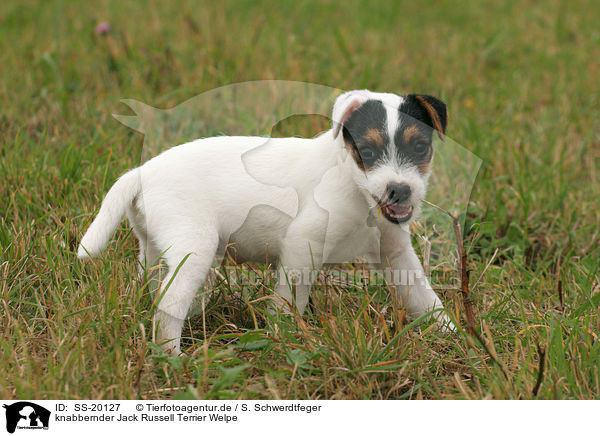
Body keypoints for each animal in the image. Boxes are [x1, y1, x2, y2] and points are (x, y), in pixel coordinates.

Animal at [78, 88, 454, 354]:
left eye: (420, 147)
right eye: (369, 151)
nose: (400, 190)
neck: (353, 183)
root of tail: (142, 172)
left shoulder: (396, 254)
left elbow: (426, 299)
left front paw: (455, 337)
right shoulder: (303, 245)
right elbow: (290, 302)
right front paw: (287, 338)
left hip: (155, 250)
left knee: (152, 285)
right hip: (194, 249)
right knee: (168, 307)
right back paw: (173, 360)